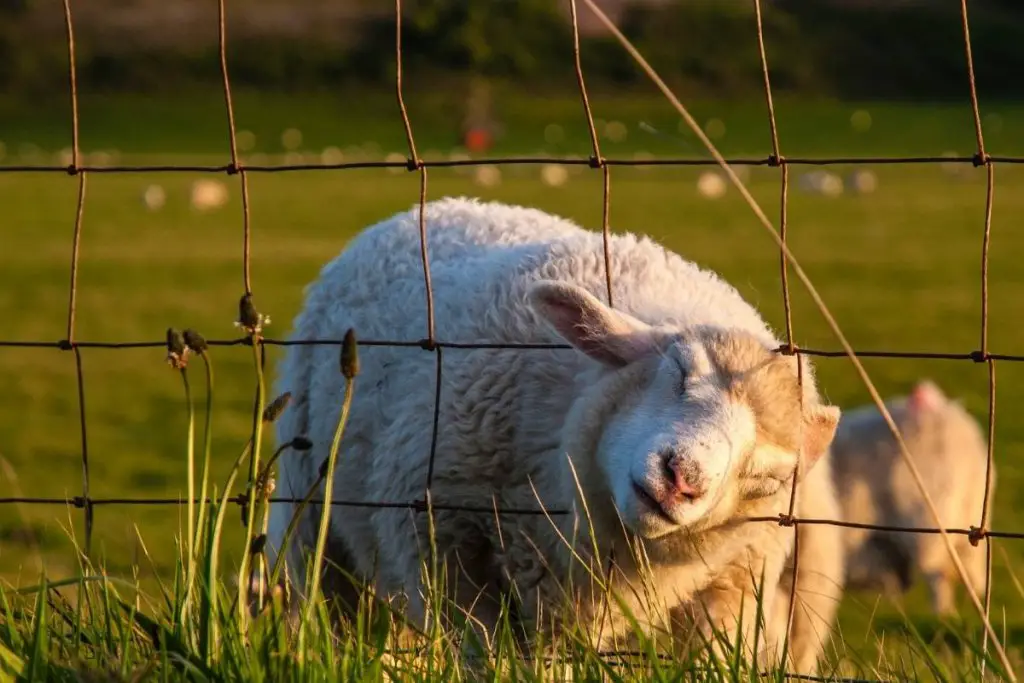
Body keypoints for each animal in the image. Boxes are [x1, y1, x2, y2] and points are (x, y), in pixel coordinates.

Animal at [264, 194, 839, 671]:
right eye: (678, 369)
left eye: (766, 480)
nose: (682, 478)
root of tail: (437, 207)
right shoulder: (446, 547)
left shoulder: (730, 594)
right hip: (311, 522)